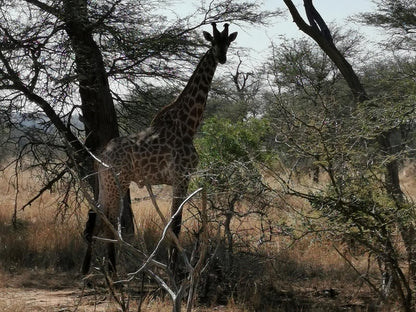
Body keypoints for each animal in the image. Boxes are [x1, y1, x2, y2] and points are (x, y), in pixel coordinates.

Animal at [82, 22, 237, 276]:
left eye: (227, 43)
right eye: (213, 41)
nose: (221, 57)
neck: (189, 124)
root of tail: (100, 155)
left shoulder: (180, 179)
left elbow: (175, 225)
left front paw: (175, 269)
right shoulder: (181, 176)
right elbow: (176, 225)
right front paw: (175, 271)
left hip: (105, 182)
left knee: (95, 219)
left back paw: (87, 273)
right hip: (118, 181)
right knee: (109, 222)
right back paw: (112, 275)